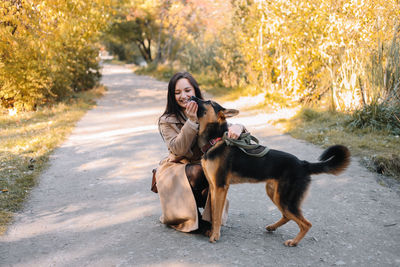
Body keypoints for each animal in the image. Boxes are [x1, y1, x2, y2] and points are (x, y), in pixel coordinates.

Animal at [191, 96, 350, 247]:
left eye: (208, 101)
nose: (192, 97)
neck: (215, 140)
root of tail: (303, 164)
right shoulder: (213, 188)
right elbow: (212, 212)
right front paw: (212, 230)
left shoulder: (220, 188)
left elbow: (217, 214)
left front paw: (215, 235)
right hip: (274, 193)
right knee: (287, 216)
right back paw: (273, 227)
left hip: (285, 199)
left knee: (306, 224)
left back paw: (293, 242)